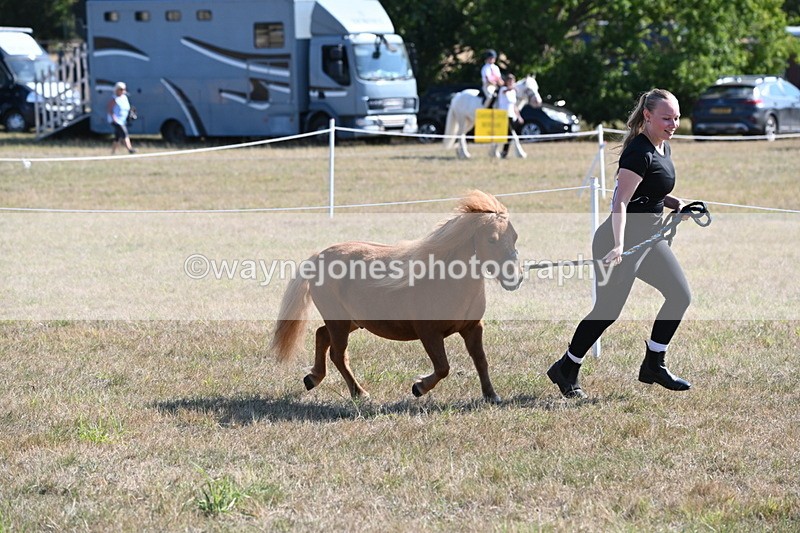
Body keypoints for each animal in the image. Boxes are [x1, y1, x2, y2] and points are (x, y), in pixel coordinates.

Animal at [270, 190, 523, 403]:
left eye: (515, 236)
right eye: (491, 239)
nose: (516, 278)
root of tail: (318, 257)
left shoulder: (472, 328)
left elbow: (481, 361)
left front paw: (491, 395)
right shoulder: (429, 333)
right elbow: (443, 367)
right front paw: (419, 387)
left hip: (352, 321)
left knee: (322, 335)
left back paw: (312, 378)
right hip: (339, 322)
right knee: (338, 354)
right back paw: (359, 393)